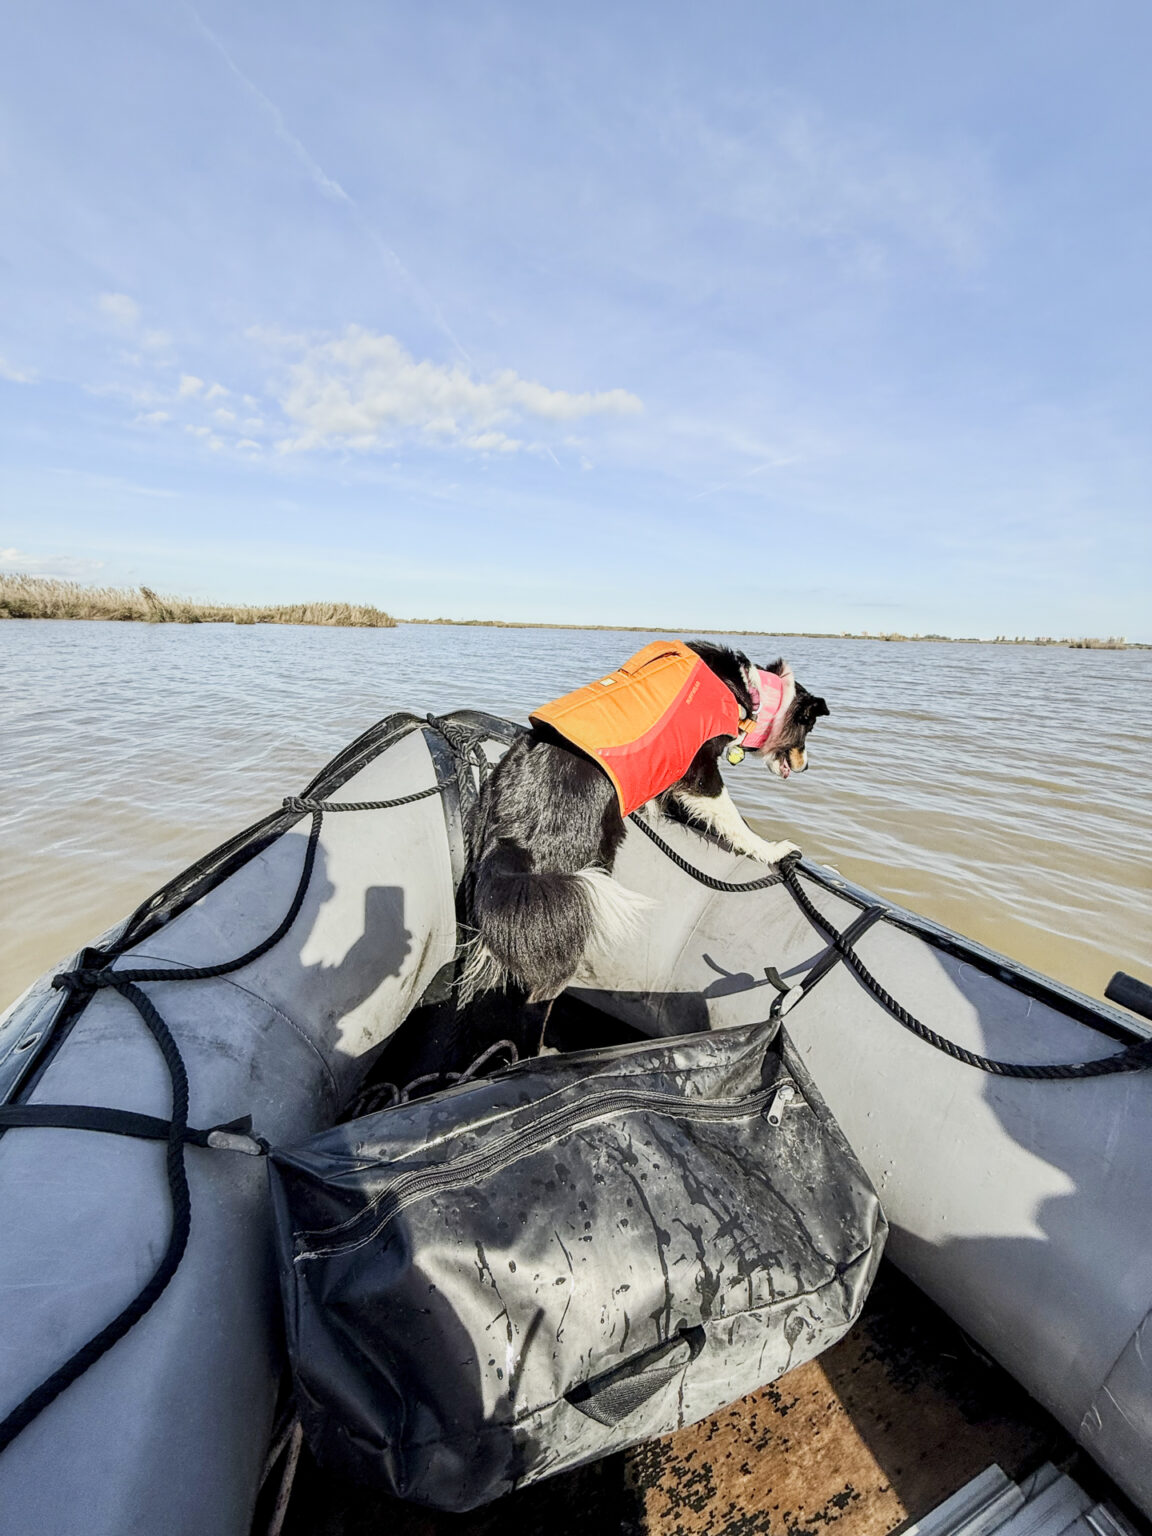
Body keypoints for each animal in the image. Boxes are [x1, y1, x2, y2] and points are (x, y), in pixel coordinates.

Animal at [463, 642, 829, 1013]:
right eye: (808, 730)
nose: (806, 766)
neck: (747, 689)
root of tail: (511, 835)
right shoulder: (701, 770)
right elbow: (732, 819)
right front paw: (771, 849)